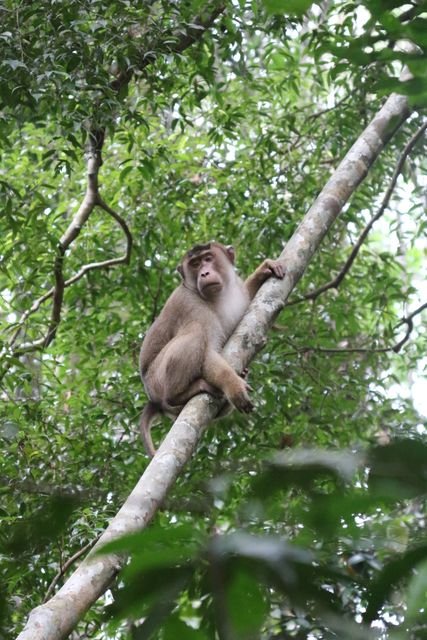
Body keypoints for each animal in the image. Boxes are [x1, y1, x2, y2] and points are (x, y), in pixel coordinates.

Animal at [139, 241, 284, 457]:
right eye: (195, 264)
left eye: (208, 258)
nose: (204, 273)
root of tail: (152, 397)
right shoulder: (190, 304)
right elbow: (208, 352)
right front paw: (233, 385)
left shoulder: (237, 291)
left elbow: (250, 303)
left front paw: (263, 270)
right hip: (157, 379)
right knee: (196, 332)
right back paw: (178, 395)